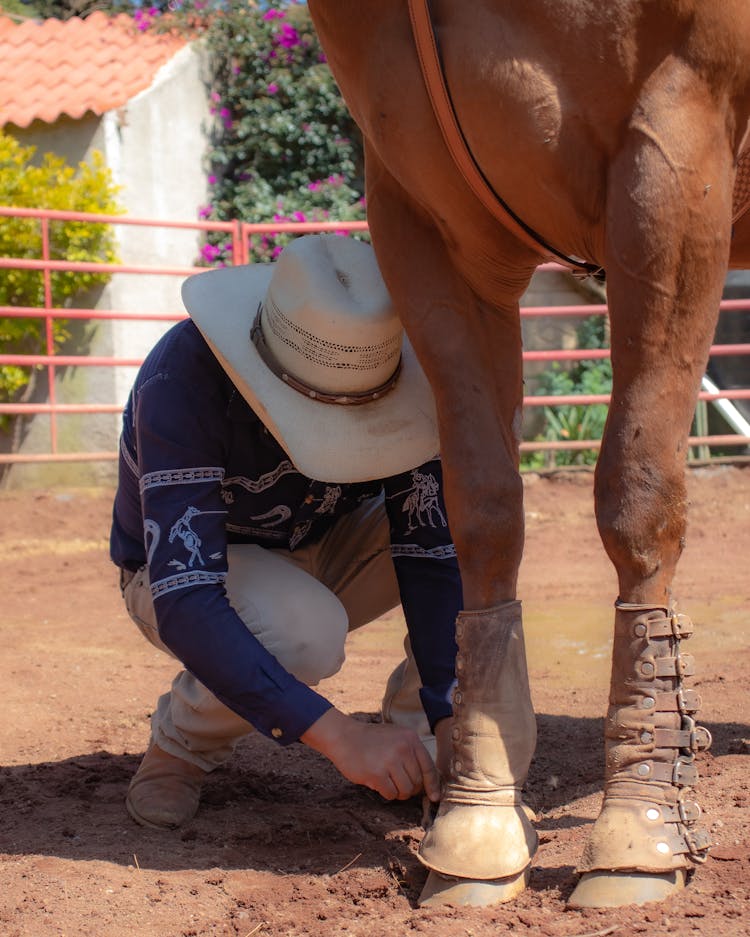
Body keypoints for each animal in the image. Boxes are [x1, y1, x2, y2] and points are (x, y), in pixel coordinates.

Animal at [308, 0, 750, 908]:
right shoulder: (427, 221)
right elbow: (481, 509)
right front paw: (476, 821)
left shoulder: (676, 151)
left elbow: (637, 493)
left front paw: (640, 828)